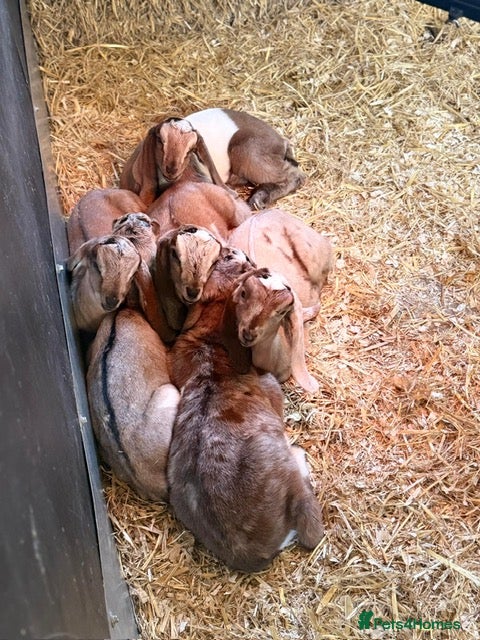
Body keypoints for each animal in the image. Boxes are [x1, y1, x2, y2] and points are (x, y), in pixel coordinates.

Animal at [167, 259, 323, 573]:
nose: (248, 333)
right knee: (312, 530)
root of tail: (253, 551)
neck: (212, 345)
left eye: (281, 310)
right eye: (243, 293)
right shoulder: (273, 388)